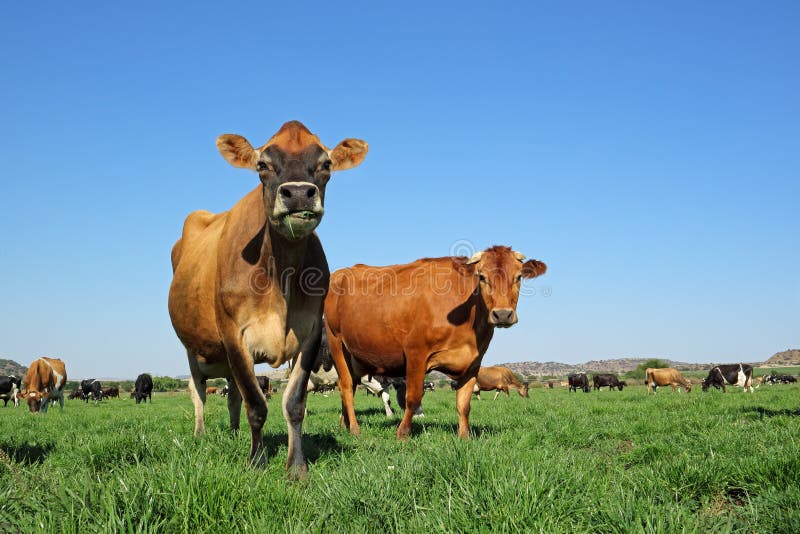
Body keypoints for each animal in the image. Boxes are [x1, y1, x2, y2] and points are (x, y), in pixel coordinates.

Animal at [170, 120, 370, 478]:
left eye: (326, 163)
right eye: (262, 164)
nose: (299, 193)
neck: (281, 279)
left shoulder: (310, 334)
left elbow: (293, 404)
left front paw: (296, 467)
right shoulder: (234, 335)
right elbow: (256, 404)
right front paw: (257, 461)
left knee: (232, 395)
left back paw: (234, 433)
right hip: (193, 348)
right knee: (199, 392)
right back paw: (201, 434)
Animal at [324, 246, 544, 440]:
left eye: (519, 277)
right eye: (481, 277)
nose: (503, 314)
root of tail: (340, 273)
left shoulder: (473, 363)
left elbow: (464, 404)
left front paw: (464, 437)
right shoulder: (416, 354)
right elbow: (413, 398)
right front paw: (403, 434)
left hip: (355, 356)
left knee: (351, 385)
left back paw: (344, 424)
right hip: (336, 343)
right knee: (346, 386)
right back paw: (354, 429)